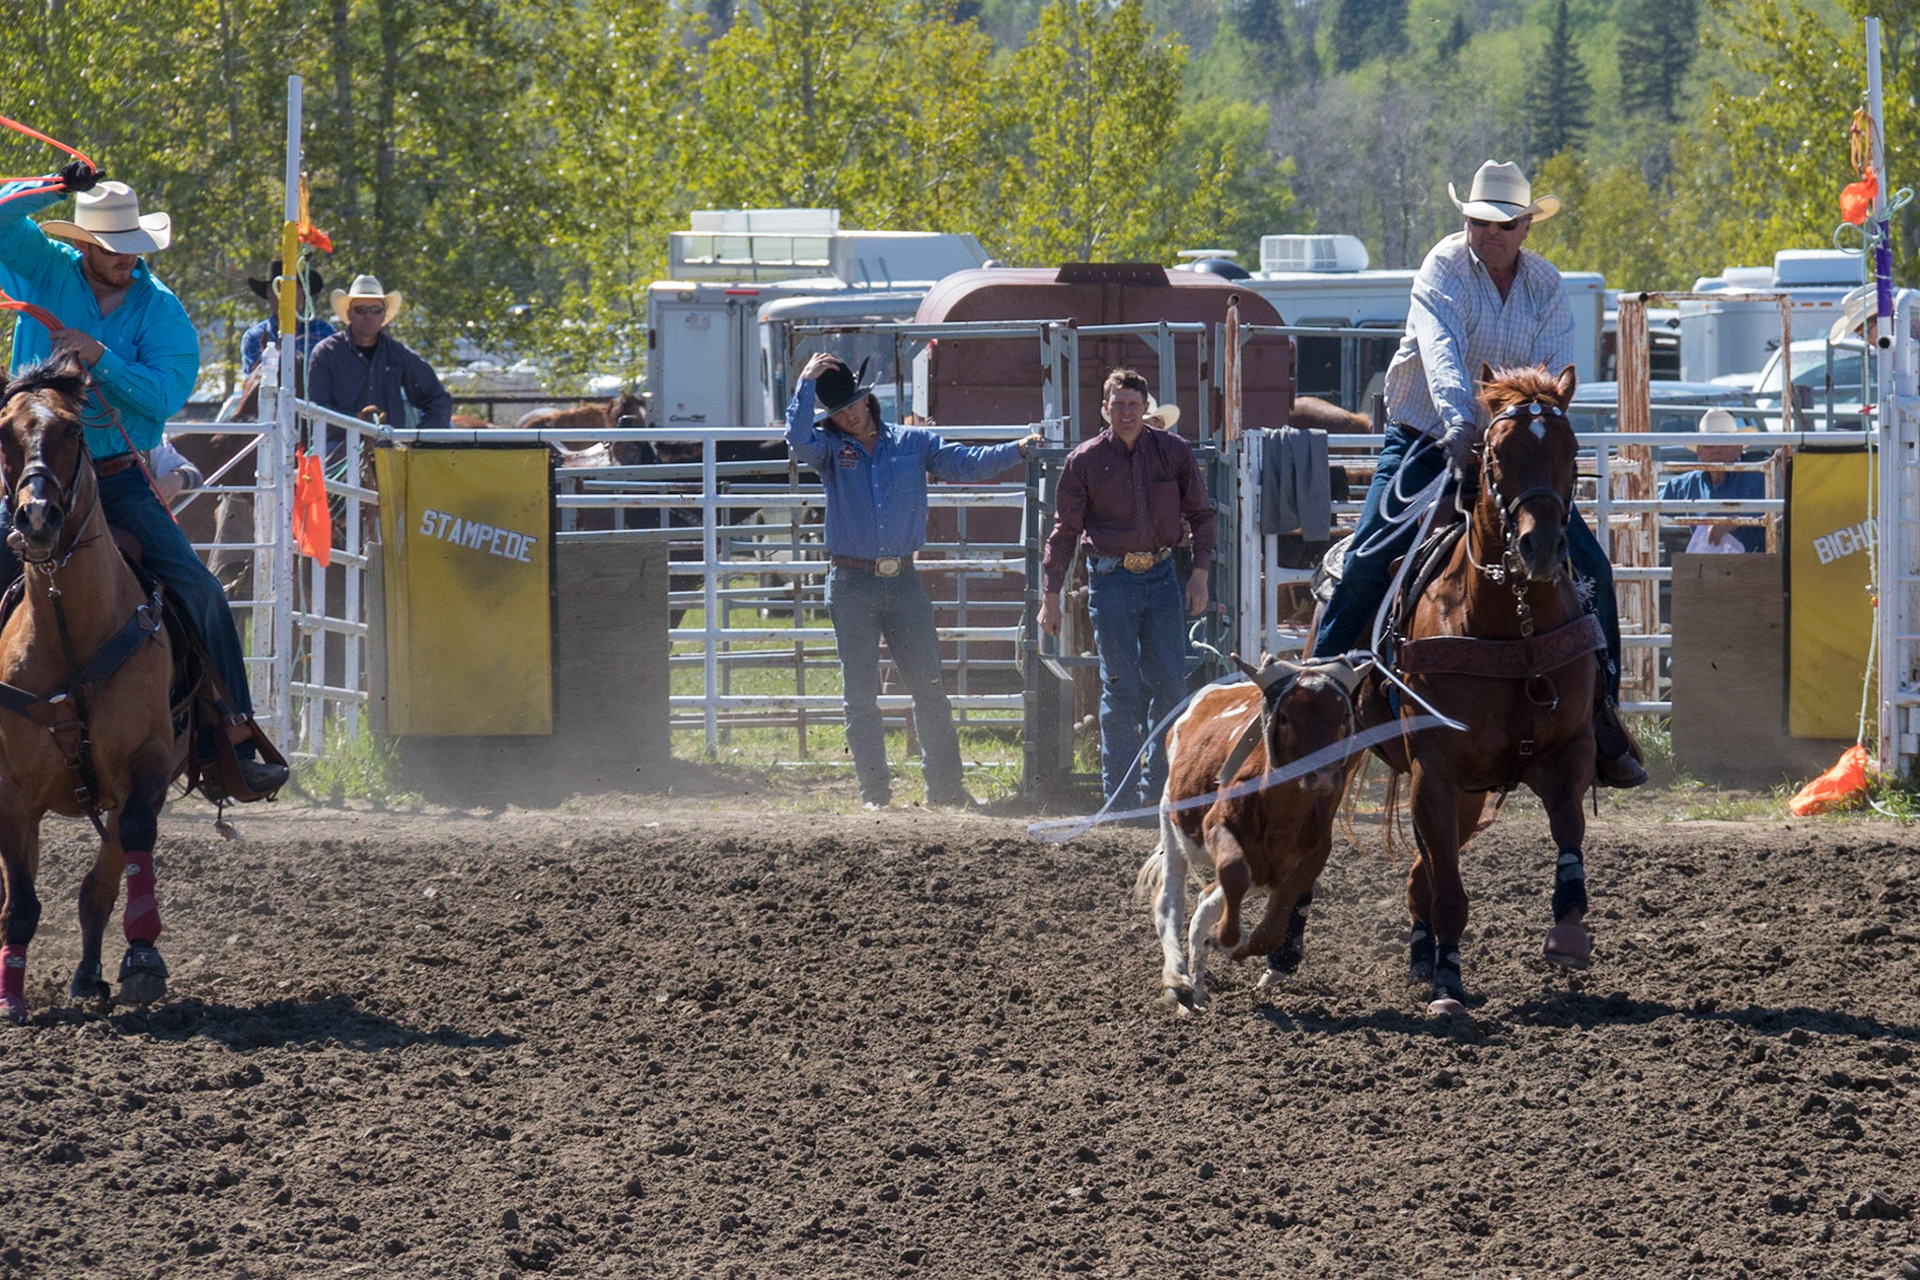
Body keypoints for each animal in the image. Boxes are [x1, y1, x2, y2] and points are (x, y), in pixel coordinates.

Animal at [0, 356, 182, 1021]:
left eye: (74, 431)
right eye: (4, 432)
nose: (37, 517)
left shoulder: (147, 762)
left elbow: (133, 845)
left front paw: (142, 960)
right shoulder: (11, 791)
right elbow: (20, 901)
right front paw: (11, 998)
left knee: (99, 885)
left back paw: (88, 976)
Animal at [1134, 654, 1365, 1009]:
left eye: (1342, 717)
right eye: (1285, 717)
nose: (1324, 776)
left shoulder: (1311, 855)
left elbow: (1275, 922)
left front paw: (1238, 944)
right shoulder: (1218, 830)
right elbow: (1231, 877)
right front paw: (1226, 941)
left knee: (1207, 900)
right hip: (1170, 820)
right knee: (1170, 901)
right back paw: (1180, 979)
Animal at [1358, 363, 1600, 1016]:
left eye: (1572, 449)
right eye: (1496, 453)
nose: (1540, 548)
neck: (1508, 623)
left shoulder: (1566, 751)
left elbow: (1569, 833)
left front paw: (1569, 933)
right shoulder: (1435, 774)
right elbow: (1451, 891)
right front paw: (1449, 988)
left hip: (1469, 795)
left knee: (1419, 874)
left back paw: (1422, 956)